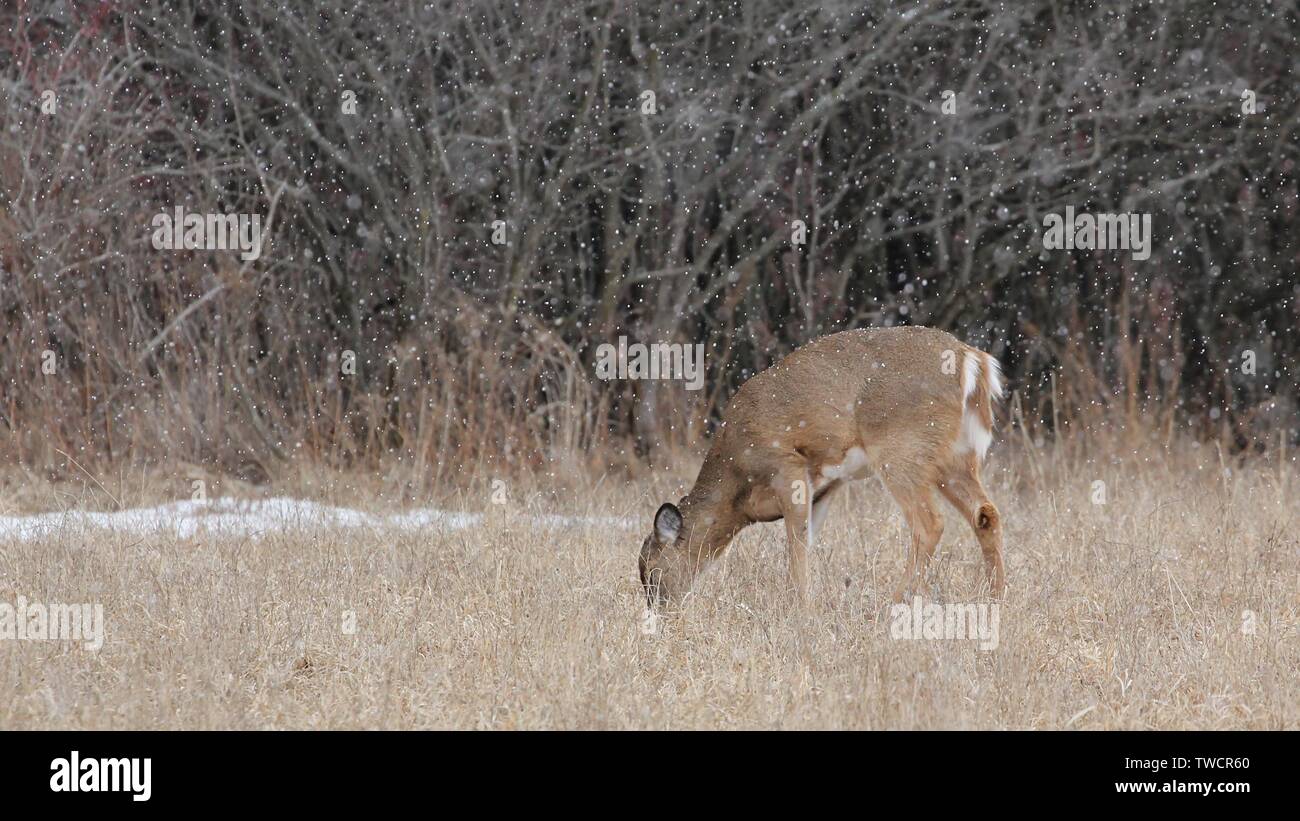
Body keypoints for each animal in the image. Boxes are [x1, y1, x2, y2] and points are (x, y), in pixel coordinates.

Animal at [639, 328, 1003, 610]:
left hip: (902, 448)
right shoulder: (828, 485)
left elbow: (796, 542)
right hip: (956, 457)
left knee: (930, 523)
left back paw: (894, 600)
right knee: (985, 513)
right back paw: (996, 597)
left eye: (653, 572)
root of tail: (971, 360)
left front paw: (800, 606)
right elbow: (809, 539)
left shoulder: (787, 465)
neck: (737, 483)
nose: (660, 611)